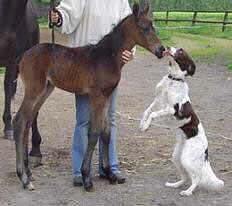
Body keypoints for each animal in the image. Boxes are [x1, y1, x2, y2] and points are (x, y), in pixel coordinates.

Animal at [13, 3, 165, 192]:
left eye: (154, 26)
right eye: (143, 28)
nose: (162, 50)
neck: (107, 57)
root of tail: (24, 55)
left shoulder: (107, 96)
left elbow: (106, 132)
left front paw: (109, 173)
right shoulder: (97, 96)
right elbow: (94, 132)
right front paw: (86, 177)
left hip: (46, 90)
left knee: (27, 122)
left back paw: (29, 172)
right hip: (34, 89)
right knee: (19, 121)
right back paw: (23, 178)